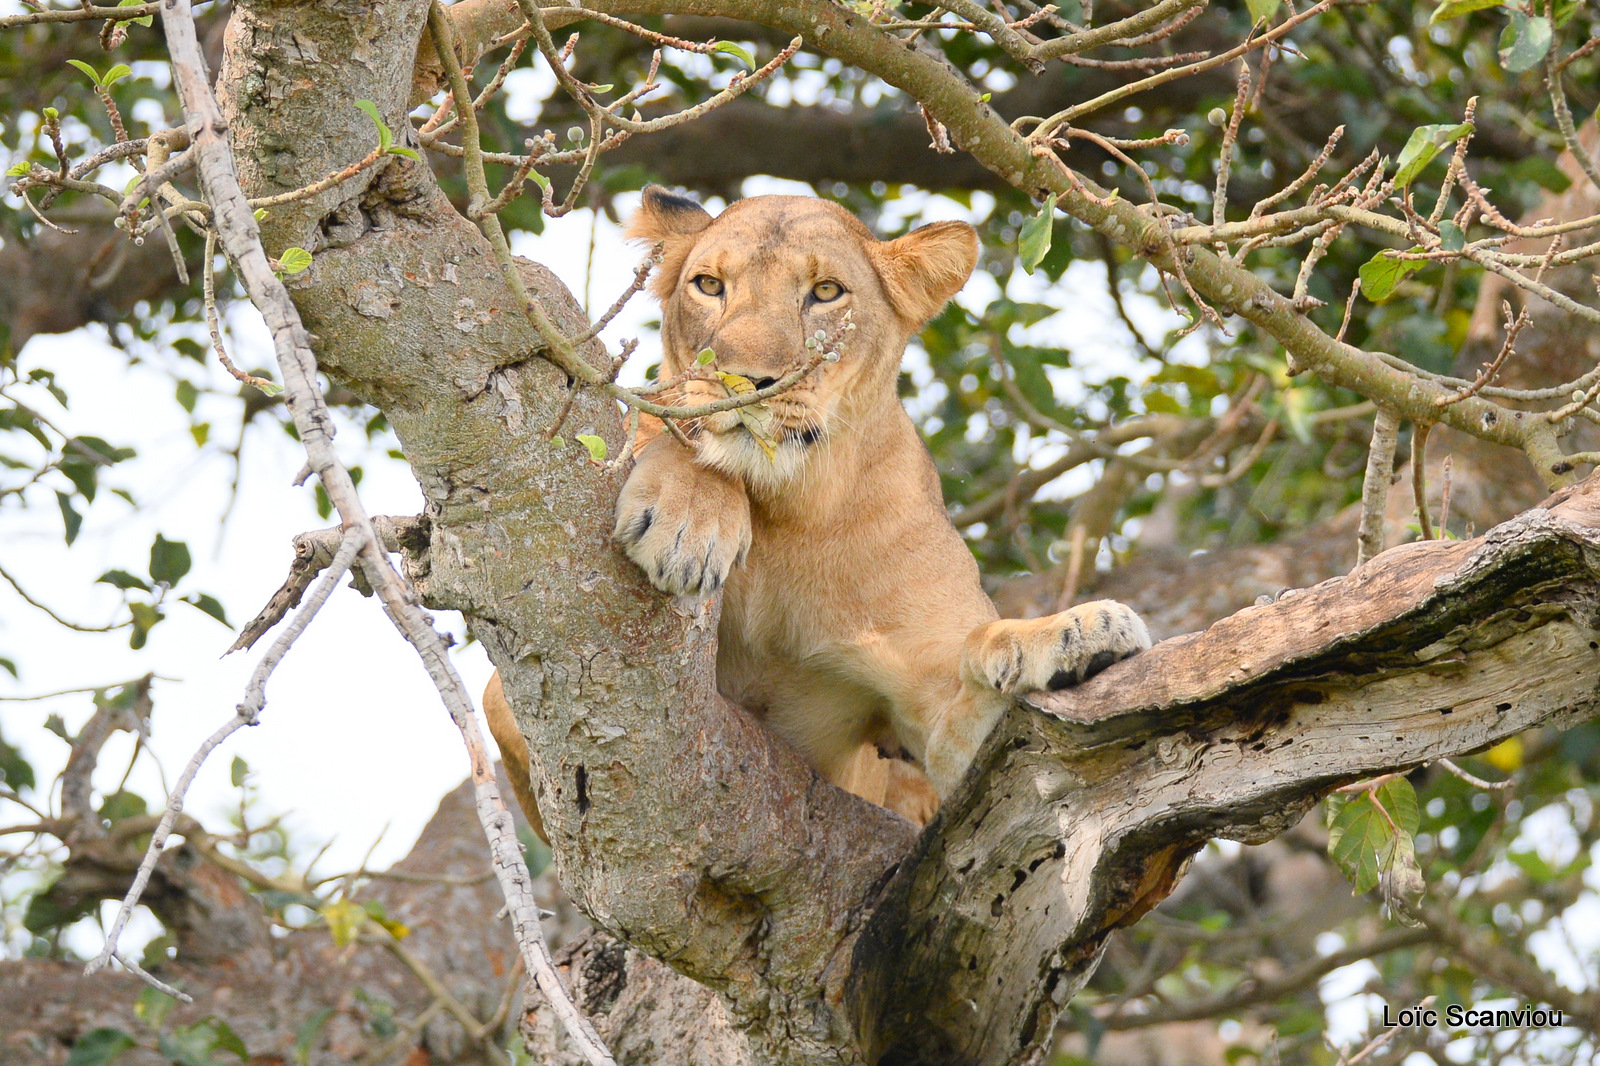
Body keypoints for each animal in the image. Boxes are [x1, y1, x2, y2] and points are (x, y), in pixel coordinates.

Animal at [483, 180, 1152, 832]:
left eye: (826, 292)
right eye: (709, 285)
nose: (743, 382)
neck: (788, 508)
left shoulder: (942, 736)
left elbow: (972, 695)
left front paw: (1075, 635)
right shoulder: (510, 700)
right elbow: (673, 433)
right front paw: (688, 521)